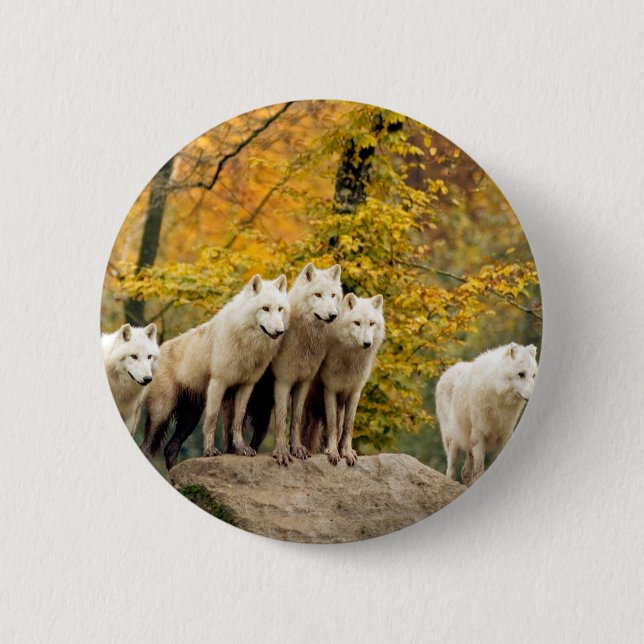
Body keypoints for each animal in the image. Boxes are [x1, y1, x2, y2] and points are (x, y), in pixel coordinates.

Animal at [140, 274, 289, 470]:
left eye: (280, 309)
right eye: (265, 308)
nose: (280, 331)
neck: (246, 342)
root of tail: (153, 354)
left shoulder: (247, 386)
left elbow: (238, 420)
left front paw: (241, 449)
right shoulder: (219, 382)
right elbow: (211, 419)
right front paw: (210, 452)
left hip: (190, 417)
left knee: (170, 448)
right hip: (162, 415)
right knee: (146, 448)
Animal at [246, 263, 343, 466]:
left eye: (333, 295)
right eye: (318, 295)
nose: (333, 315)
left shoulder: (303, 383)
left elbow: (295, 419)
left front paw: (297, 449)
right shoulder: (283, 382)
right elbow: (283, 419)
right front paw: (282, 452)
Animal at [301, 292, 385, 465]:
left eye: (372, 323)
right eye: (357, 323)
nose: (367, 343)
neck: (351, 360)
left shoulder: (354, 392)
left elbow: (348, 426)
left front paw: (346, 452)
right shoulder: (330, 390)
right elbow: (332, 426)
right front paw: (333, 452)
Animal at [436, 342, 538, 486]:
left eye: (533, 375)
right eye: (521, 374)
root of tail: (446, 372)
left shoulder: (505, 435)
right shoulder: (479, 434)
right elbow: (479, 470)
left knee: (465, 472)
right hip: (453, 441)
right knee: (450, 470)